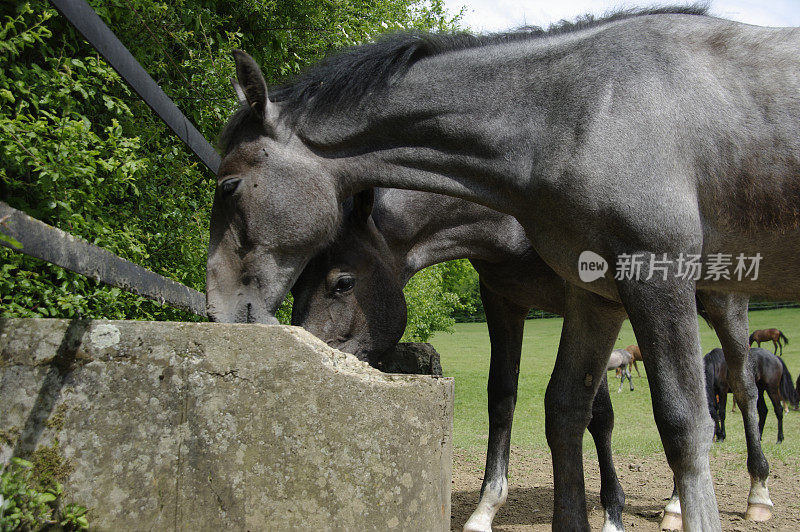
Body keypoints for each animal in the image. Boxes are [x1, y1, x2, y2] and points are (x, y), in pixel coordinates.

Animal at [294, 187, 776, 528]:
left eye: (342, 283)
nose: (304, 355)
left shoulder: (587, 302)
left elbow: (599, 416)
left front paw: (612, 514)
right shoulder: (505, 301)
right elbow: (503, 396)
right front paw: (485, 510)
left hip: (722, 307)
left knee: (743, 388)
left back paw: (753, 495)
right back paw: (678, 502)